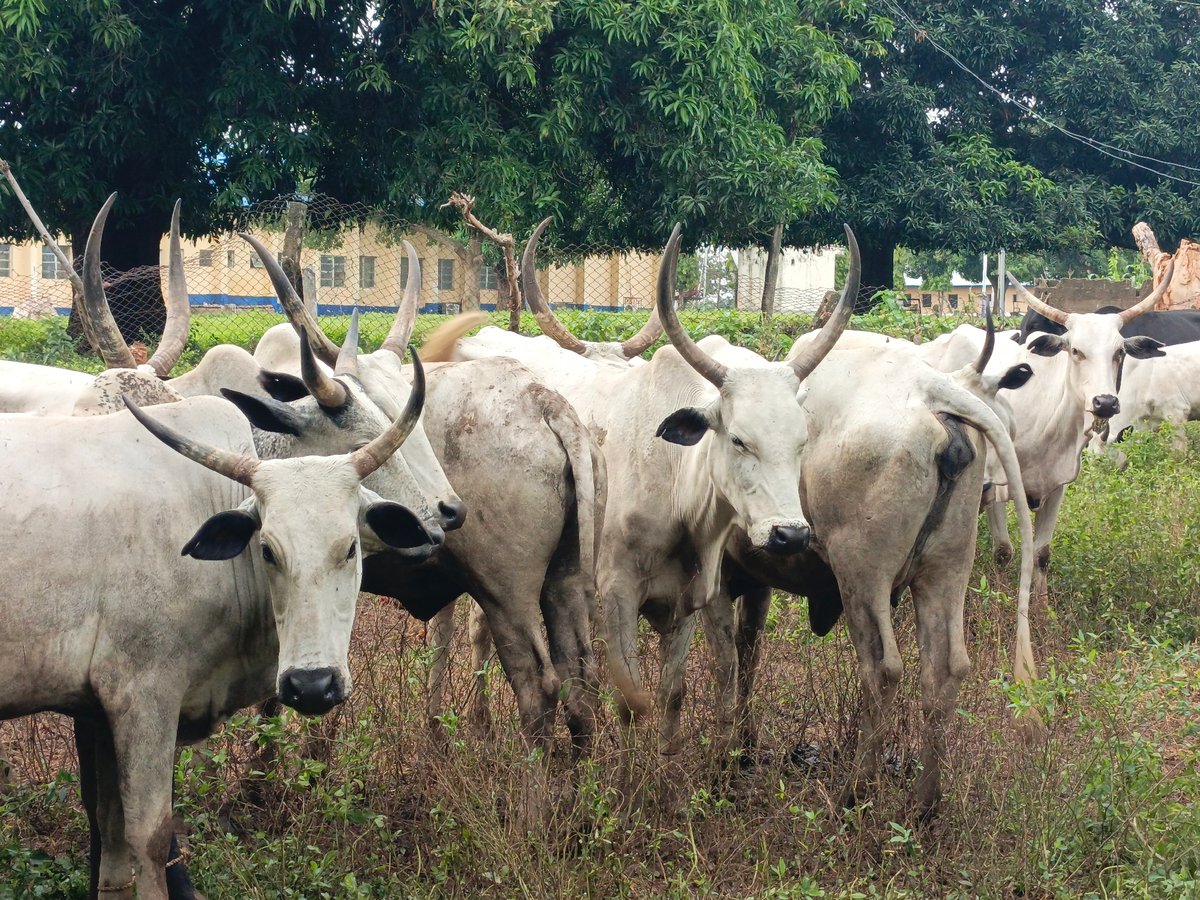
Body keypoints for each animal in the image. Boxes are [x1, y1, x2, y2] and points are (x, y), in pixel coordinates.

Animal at [0, 372, 436, 899]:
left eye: (349, 547)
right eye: (267, 549)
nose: (312, 686)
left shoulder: (96, 711)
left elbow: (110, 836)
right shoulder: (142, 698)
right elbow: (149, 837)